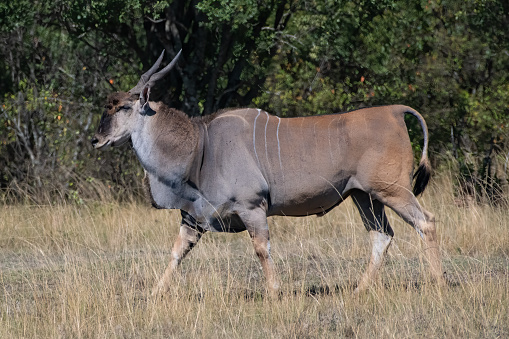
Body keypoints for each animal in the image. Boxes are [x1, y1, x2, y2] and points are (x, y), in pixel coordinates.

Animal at [92, 49, 444, 296]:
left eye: (123, 107)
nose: (96, 139)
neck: (201, 145)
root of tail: (395, 111)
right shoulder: (193, 216)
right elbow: (178, 252)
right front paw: (155, 294)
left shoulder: (252, 208)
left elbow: (262, 250)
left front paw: (275, 293)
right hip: (364, 196)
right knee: (382, 236)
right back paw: (359, 290)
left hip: (392, 190)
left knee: (426, 222)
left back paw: (437, 282)